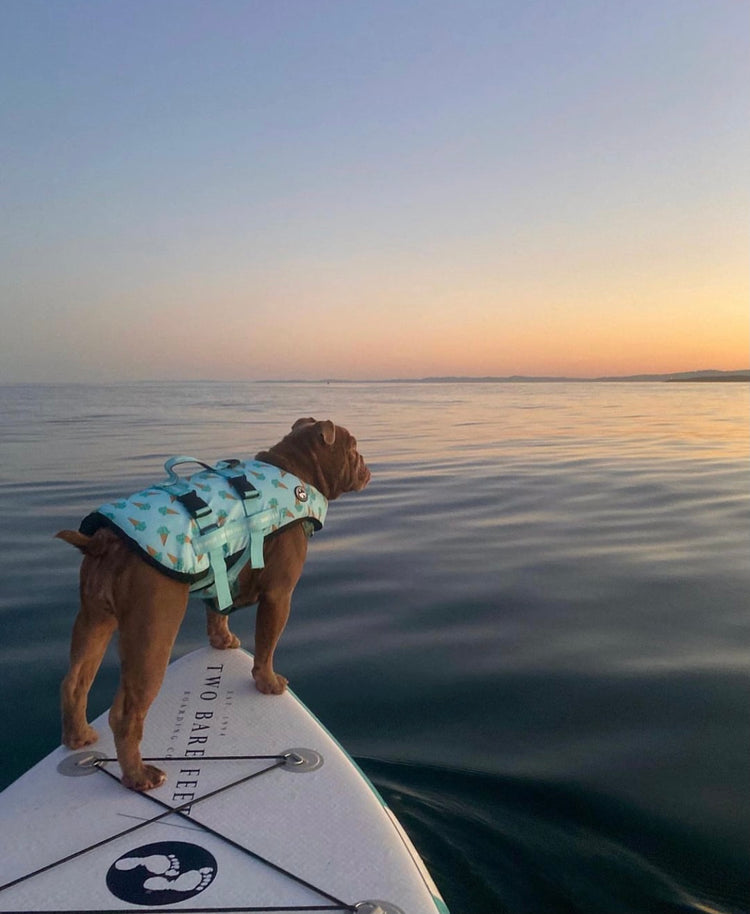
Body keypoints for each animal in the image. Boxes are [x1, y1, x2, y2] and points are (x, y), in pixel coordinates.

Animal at [55, 416, 370, 788]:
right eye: (353, 448)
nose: (366, 463)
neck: (294, 468)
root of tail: (104, 542)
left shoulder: (221, 575)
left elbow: (217, 613)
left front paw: (223, 641)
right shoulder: (279, 596)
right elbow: (267, 644)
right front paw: (267, 682)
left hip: (93, 620)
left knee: (74, 682)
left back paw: (77, 737)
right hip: (152, 634)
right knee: (126, 713)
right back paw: (138, 775)